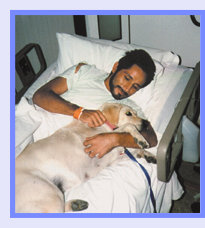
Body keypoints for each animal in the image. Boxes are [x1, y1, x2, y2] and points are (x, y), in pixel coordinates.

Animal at [15, 102, 156, 213]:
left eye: (136, 113)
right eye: (128, 113)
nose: (146, 123)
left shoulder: (113, 158)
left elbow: (133, 151)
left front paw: (148, 155)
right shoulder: (103, 141)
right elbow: (128, 126)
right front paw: (141, 139)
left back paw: (76, 204)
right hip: (49, 193)